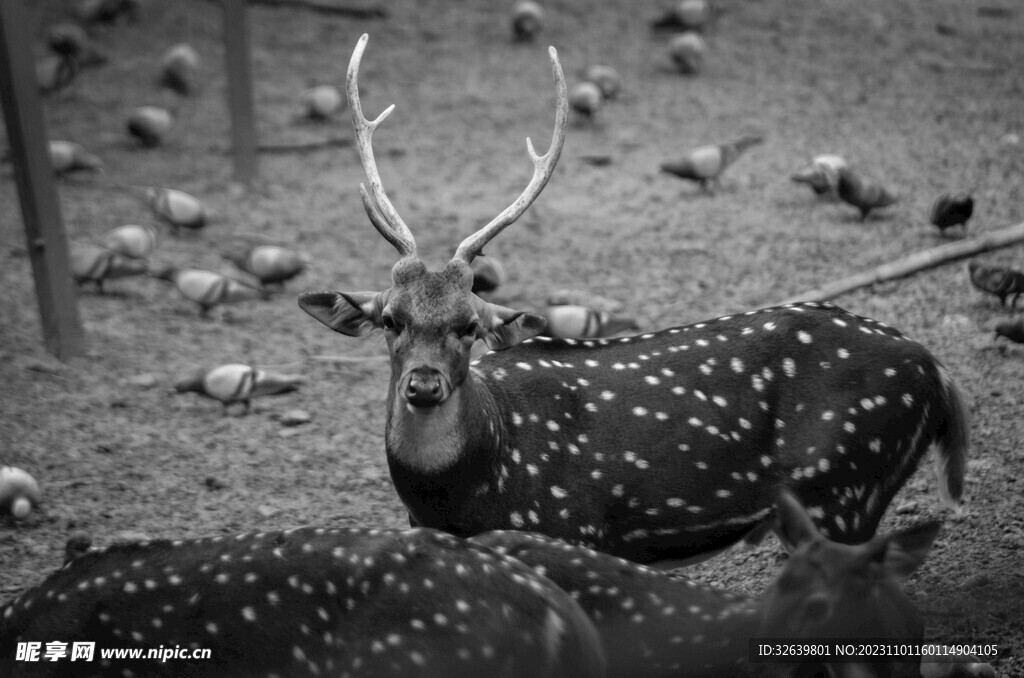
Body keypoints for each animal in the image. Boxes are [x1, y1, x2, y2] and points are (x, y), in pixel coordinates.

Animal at [298, 33, 969, 565]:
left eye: (469, 325)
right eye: (391, 319)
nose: (423, 384)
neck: (471, 496)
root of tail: (939, 375)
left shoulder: (569, 531)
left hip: (845, 487)